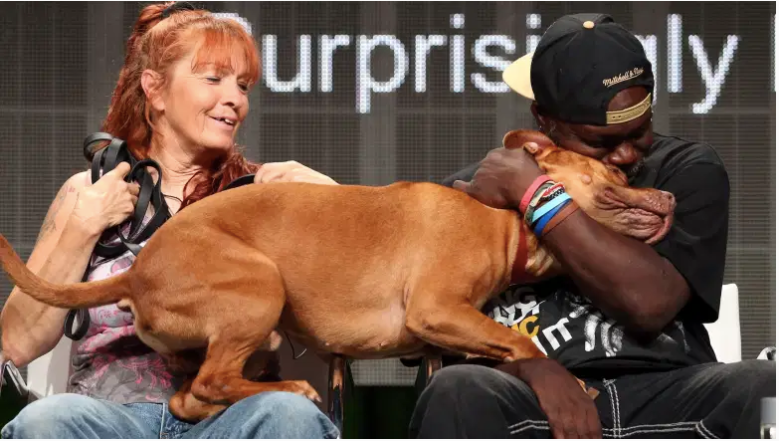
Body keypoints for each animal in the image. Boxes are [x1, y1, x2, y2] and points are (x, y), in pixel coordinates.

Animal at [0, 130, 672, 420]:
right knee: (214, 383)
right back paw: (292, 391)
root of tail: (136, 272)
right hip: (260, 289)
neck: (502, 219)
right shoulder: (438, 310)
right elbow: (521, 343)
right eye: (616, 174)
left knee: (192, 396)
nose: (666, 194)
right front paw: (571, 383)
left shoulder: (442, 338)